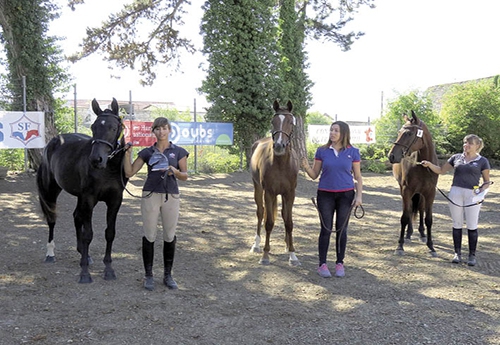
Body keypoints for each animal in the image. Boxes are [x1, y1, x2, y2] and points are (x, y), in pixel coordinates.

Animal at [36, 97, 128, 282]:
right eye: (93, 127)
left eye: (113, 128)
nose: (96, 159)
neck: (108, 169)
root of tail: (54, 141)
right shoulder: (89, 199)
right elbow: (88, 234)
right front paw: (85, 273)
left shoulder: (115, 201)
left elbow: (110, 233)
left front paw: (108, 269)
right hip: (51, 191)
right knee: (52, 219)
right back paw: (50, 253)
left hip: (79, 197)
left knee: (76, 217)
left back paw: (84, 254)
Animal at [249, 101, 298, 264]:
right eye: (273, 121)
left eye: (291, 122)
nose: (278, 146)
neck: (281, 164)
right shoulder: (269, 193)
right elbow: (269, 222)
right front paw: (265, 254)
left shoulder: (290, 194)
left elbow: (289, 222)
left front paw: (292, 254)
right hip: (258, 188)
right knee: (260, 212)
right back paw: (256, 245)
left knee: (283, 215)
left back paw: (287, 244)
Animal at [386, 110, 438, 255]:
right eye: (399, 132)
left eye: (409, 133)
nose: (391, 156)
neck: (423, 166)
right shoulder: (406, 190)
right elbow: (404, 217)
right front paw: (400, 245)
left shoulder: (430, 193)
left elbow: (428, 219)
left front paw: (431, 246)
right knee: (409, 209)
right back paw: (408, 234)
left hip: (420, 194)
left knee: (420, 209)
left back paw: (422, 234)